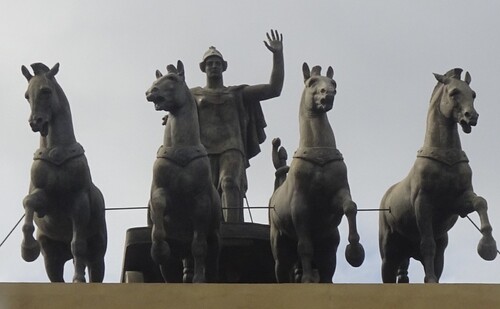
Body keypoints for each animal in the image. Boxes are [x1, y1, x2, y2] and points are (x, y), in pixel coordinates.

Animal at [20, 62, 107, 282]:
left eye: (46, 91)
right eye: (27, 95)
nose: (35, 122)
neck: (56, 152)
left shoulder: (79, 203)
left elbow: (77, 245)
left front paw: (78, 279)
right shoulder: (43, 196)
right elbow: (29, 202)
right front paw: (28, 249)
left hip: (98, 253)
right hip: (52, 258)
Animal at [146, 59, 222, 282]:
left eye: (172, 78)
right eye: (157, 79)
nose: (150, 92)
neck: (181, 148)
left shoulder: (201, 202)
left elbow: (199, 246)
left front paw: (198, 280)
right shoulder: (159, 192)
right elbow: (159, 227)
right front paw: (159, 250)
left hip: (215, 238)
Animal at [270, 62, 364, 282]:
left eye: (333, 82)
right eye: (312, 82)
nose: (328, 94)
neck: (318, 153)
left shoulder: (339, 193)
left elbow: (350, 207)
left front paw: (355, 252)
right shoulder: (300, 208)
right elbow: (304, 246)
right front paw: (306, 279)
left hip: (329, 243)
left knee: (327, 269)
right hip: (279, 244)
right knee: (281, 269)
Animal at [380, 68, 498, 282]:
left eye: (473, 94)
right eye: (453, 93)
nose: (472, 116)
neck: (445, 157)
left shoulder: (457, 202)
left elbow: (480, 202)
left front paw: (488, 247)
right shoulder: (423, 203)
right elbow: (427, 244)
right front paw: (431, 280)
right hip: (389, 253)